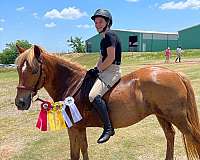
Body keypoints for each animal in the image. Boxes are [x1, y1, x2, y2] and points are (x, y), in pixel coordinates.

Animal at [14, 44, 200, 160]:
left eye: (34, 70)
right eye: (18, 69)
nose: (20, 102)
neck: (72, 84)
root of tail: (175, 74)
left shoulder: (73, 129)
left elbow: (75, 154)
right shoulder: (80, 128)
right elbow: (83, 150)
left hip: (178, 118)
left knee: (193, 136)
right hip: (161, 115)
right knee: (170, 135)